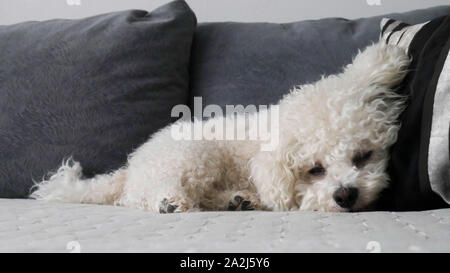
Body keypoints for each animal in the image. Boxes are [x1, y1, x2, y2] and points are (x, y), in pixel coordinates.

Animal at [30, 41, 412, 214]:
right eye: (315, 170)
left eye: (363, 156)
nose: (345, 195)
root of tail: (131, 167)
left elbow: (356, 75)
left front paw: (383, 61)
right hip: (193, 155)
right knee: (141, 197)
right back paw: (170, 202)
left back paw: (237, 201)